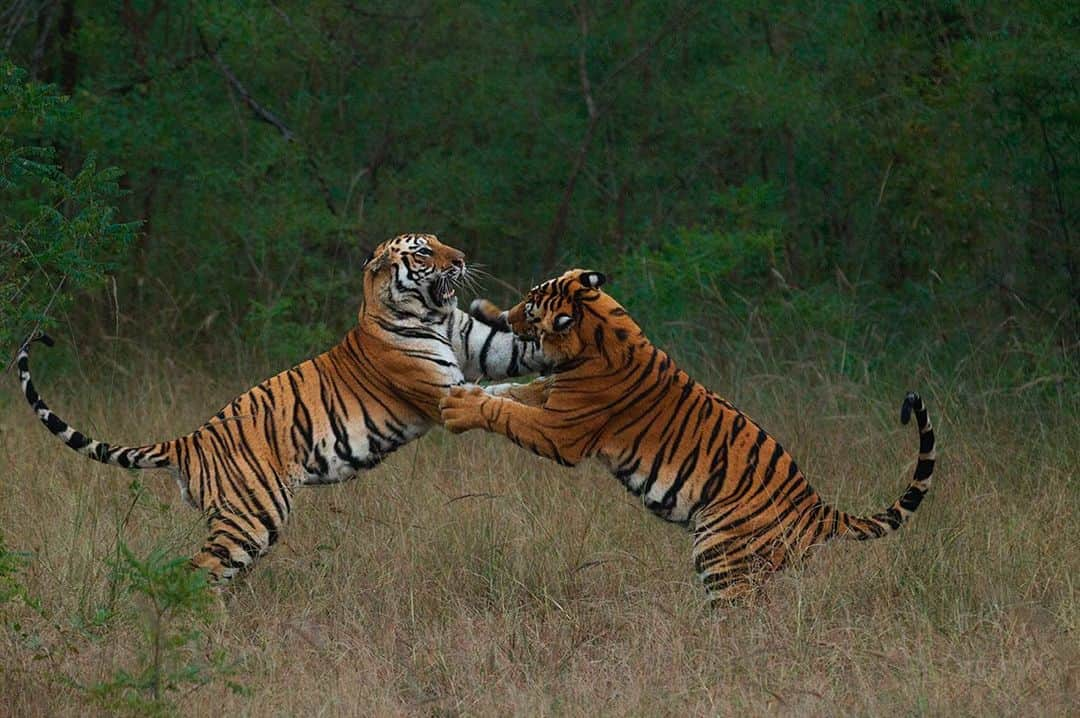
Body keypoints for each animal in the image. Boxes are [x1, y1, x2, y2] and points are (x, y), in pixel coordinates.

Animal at [16, 235, 552, 583]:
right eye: (425, 251)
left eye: (442, 242)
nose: (461, 258)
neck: (430, 313)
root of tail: (190, 439)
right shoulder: (445, 389)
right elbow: (502, 396)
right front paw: (550, 399)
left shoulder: (484, 347)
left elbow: (520, 361)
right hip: (251, 518)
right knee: (198, 573)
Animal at [440, 268, 937, 600]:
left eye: (530, 305)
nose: (508, 316)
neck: (599, 329)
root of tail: (818, 510)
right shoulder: (552, 393)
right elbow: (515, 392)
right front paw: (476, 388)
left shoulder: (561, 430)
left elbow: (508, 412)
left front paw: (462, 404)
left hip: (721, 554)